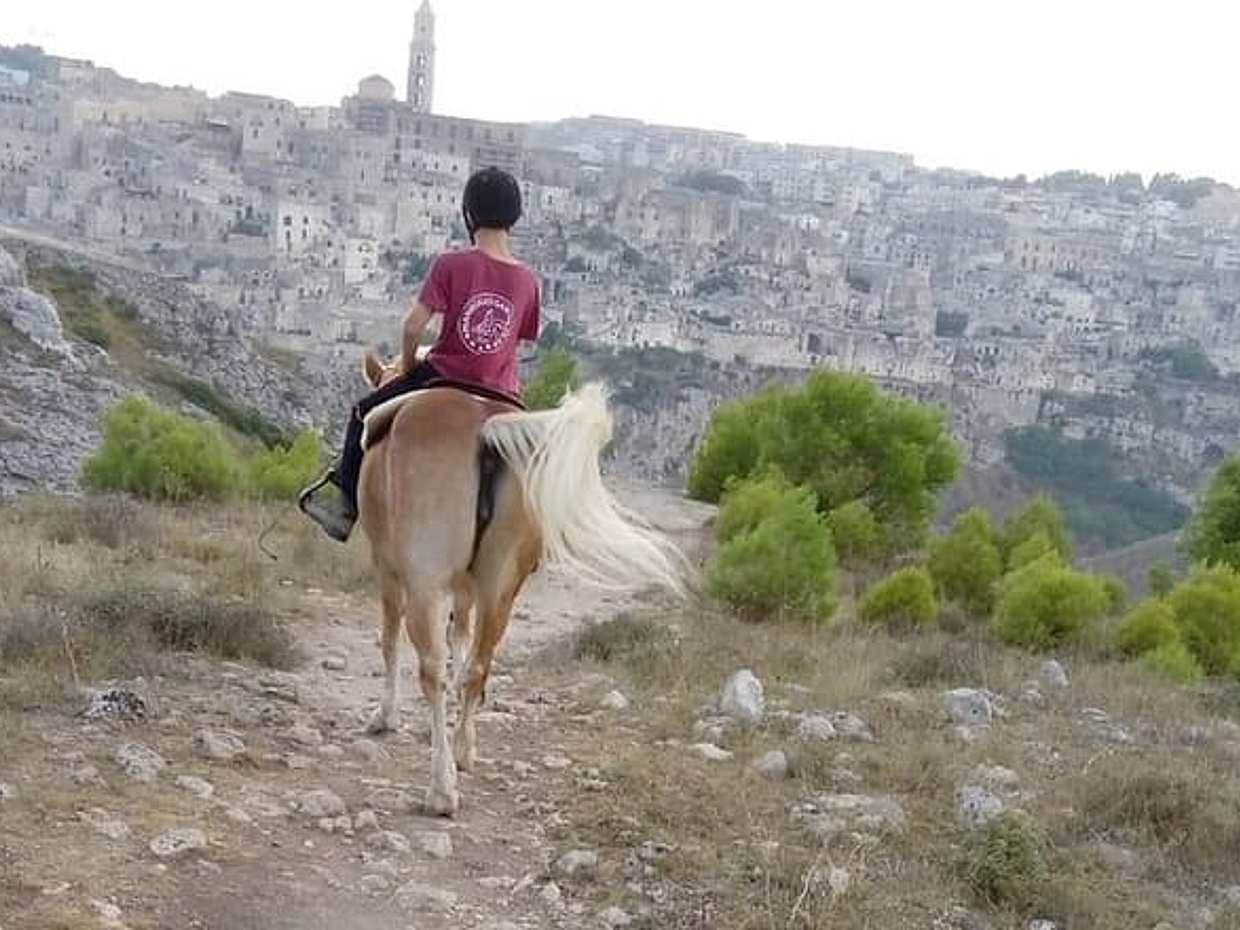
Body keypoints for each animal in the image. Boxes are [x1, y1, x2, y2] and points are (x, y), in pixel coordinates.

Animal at [354, 351, 688, 816]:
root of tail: (486, 429)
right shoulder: (468, 588)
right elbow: (462, 642)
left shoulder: (386, 567)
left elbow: (389, 641)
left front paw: (385, 717)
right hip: (501, 585)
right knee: (478, 665)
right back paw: (463, 752)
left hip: (425, 579)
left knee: (433, 669)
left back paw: (441, 789)